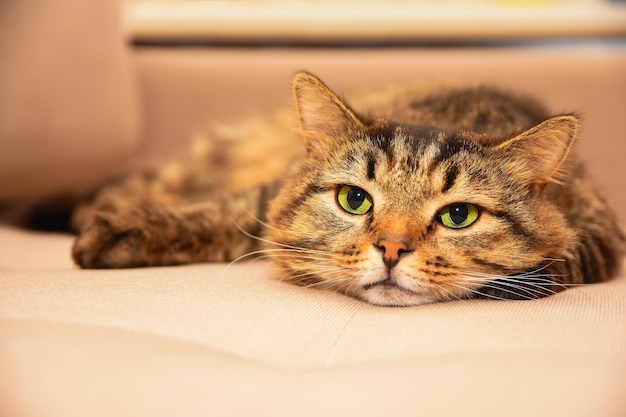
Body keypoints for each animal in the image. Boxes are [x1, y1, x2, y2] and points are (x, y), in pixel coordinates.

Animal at [70, 70, 620, 306]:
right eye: (354, 200)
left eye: (457, 216)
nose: (392, 250)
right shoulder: (261, 198)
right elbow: (219, 216)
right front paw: (119, 237)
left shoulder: (600, 239)